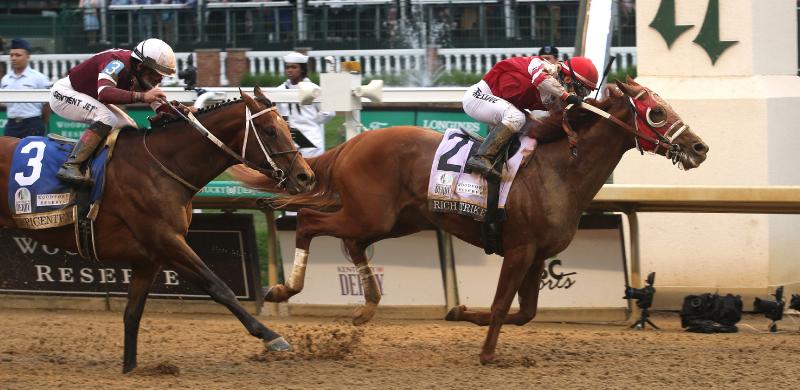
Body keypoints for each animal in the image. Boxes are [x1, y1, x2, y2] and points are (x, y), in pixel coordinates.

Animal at [0, 87, 314, 374]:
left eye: (288, 128)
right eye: (270, 130)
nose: (305, 176)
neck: (161, 167)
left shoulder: (150, 257)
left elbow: (132, 313)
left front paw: (130, 367)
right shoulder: (168, 241)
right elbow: (219, 287)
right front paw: (271, 336)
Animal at [233, 78, 712, 362]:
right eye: (656, 112)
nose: (699, 147)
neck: (560, 169)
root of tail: (352, 144)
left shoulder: (538, 255)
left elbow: (525, 312)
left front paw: (459, 311)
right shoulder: (518, 249)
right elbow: (503, 305)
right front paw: (485, 353)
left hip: (393, 220)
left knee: (351, 243)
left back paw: (366, 308)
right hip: (369, 213)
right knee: (309, 221)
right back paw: (284, 289)